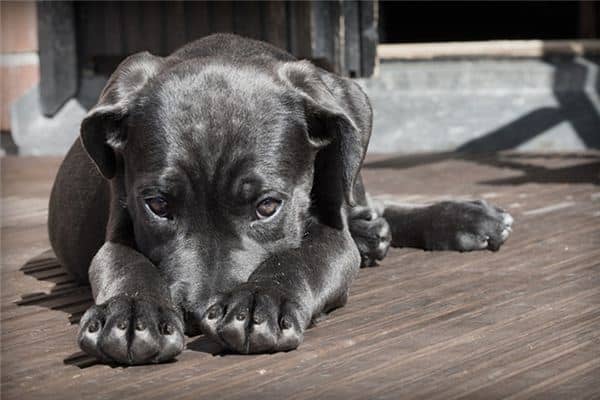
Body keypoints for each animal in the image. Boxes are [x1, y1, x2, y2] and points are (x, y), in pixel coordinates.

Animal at [49, 33, 512, 366]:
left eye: (268, 206)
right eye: (158, 206)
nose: (198, 314)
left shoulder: (330, 234)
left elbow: (300, 257)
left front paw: (260, 301)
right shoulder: (118, 227)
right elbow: (125, 263)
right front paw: (130, 313)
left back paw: (459, 218)